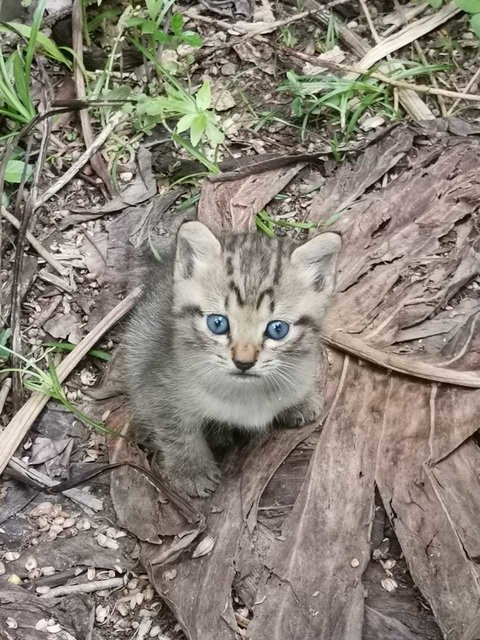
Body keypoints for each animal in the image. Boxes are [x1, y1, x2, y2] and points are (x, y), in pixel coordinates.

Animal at [124, 222, 342, 498]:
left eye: (278, 329)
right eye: (217, 323)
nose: (244, 362)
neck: (247, 394)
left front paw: (299, 400)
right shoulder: (156, 386)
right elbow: (178, 432)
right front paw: (191, 470)